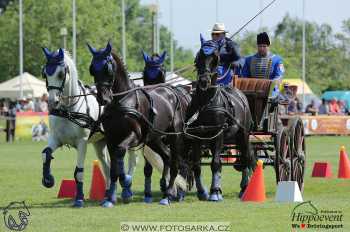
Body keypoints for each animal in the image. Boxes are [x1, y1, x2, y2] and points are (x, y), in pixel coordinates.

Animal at [89, 42, 190, 206]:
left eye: (107, 68)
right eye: (92, 69)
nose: (102, 99)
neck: (121, 100)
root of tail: (175, 92)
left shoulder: (134, 136)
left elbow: (120, 151)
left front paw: (126, 181)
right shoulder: (111, 138)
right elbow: (113, 169)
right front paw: (110, 198)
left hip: (175, 136)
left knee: (175, 163)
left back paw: (168, 194)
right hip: (154, 138)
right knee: (167, 156)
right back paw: (164, 187)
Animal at [187, 35, 256, 199]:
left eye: (215, 58)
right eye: (198, 56)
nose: (204, 81)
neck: (205, 103)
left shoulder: (218, 134)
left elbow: (216, 163)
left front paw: (215, 191)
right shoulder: (196, 136)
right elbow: (197, 165)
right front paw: (202, 192)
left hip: (243, 134)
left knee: (245, 158)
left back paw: (244, 187)